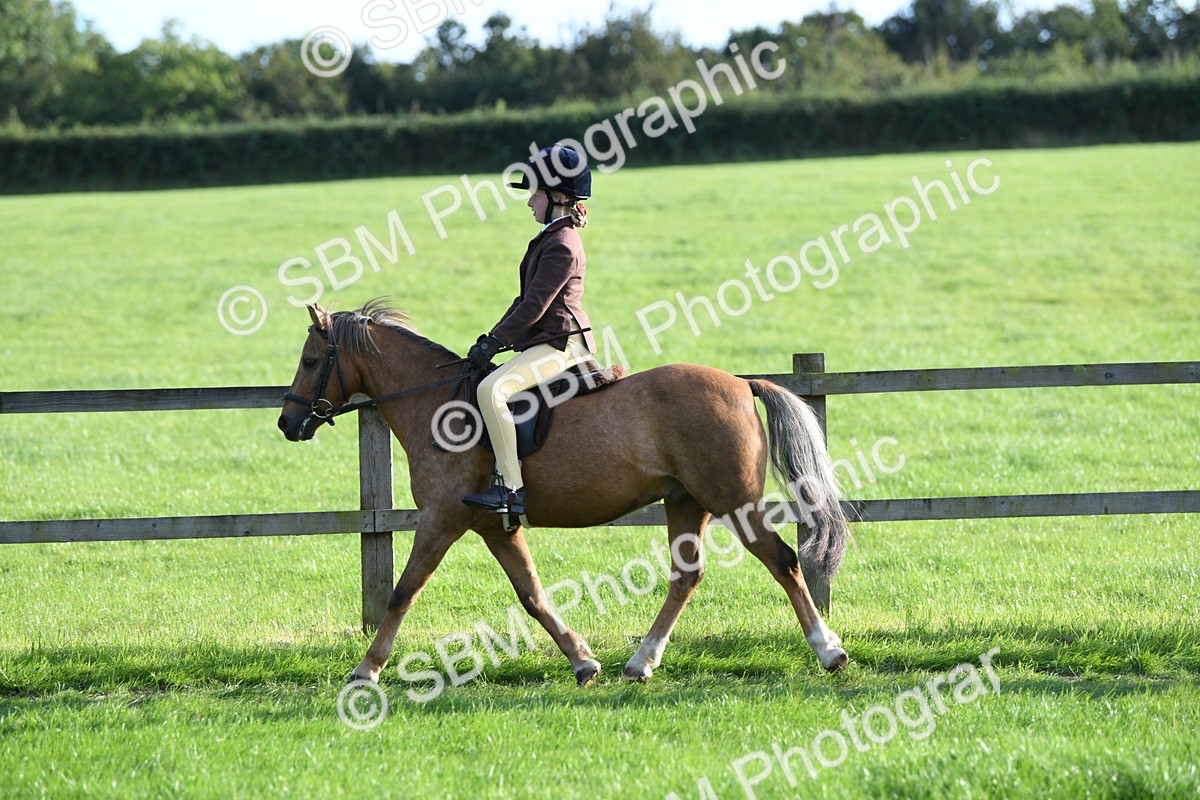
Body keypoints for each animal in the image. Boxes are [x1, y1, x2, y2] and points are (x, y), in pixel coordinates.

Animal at [278, 300, 851, 686]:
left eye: (310, 361)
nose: (287, 423)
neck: (439, 405)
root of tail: (739, 382)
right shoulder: (494, 527)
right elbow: (532, 595)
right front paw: (582, 660)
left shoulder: (441, 520)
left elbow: (403, 592)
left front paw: (366, 670)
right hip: (685, 502)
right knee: (686, 576)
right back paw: (640, 662)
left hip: (732, 501)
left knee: (783, 560)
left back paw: (828, 651)